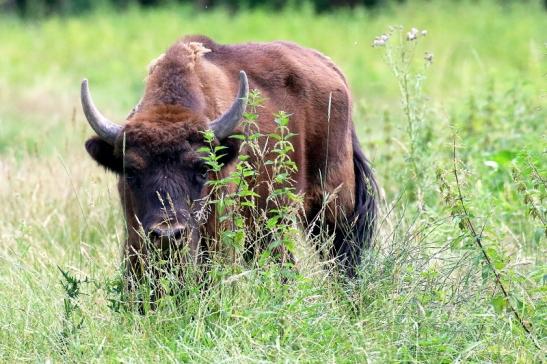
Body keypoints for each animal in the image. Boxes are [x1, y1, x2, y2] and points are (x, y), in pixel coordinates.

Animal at [82, 35, 376, 280]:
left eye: (202, 169)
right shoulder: (134, 235)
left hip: (332, 207)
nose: (168, 234)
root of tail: (332, 71)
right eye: (131, 171)